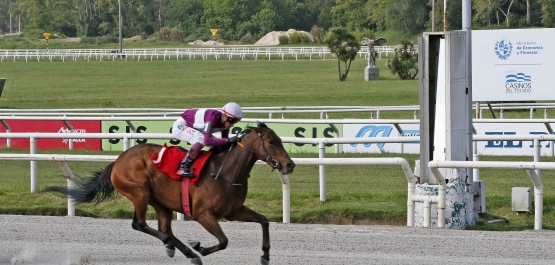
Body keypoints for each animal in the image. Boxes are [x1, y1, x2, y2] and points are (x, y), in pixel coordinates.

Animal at [43, 122, 296, 262]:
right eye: (272, 141)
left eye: (280, 139)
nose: (289, 165)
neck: (225, 173)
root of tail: (118, 161)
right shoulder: (203, 214)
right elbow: (223, 241)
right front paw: (201, 247)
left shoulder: (234, 211)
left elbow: (264, 220)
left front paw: (265, 255)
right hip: (139, 192)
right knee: (140, 225)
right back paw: (183, 249)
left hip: (160, 201)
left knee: (164, 228)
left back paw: (180, 249)